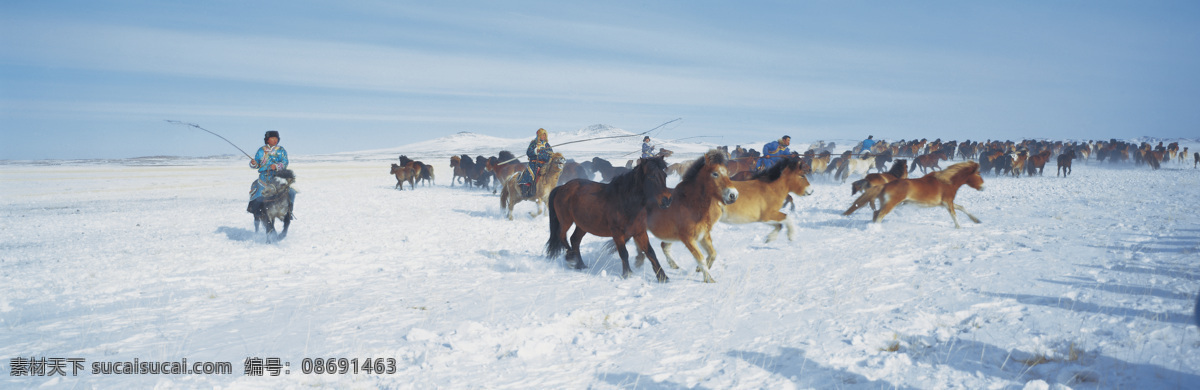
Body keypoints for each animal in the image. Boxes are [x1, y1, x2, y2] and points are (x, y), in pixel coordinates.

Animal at [547, 156, 676, 280]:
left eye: (664, 175)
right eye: (651, 176)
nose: (667, 200)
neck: (626, 202)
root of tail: (562, 187)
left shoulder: (639, 232)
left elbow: (650, 252)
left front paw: (662, 277)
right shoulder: (617, 233)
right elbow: (624, 253)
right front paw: (627, 275)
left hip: (582, 225)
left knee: (574, 240)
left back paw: (580, 265)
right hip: (565, 221)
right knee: (561, 236)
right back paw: (571, 258)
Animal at [643, 149, 734, 282]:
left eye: (727, 172)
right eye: (715, 174)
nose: (733, 195)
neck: (690, 203)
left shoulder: (703, 235)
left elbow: (713, 253)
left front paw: (701, 270)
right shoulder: (688, 238)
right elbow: (700, 258)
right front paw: (708, 279)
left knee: (663, 246)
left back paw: (673, 265)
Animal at [844, 159, 984, 228]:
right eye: (978, 174)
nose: (983, 187)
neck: (947, 181)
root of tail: (885, 185)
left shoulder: (946, 202)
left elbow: (962, 208)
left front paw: (977, 220)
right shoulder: (947, 202)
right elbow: (954, 215)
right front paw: (959, 227)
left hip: (887, 203)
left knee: (875, 213)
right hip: (891, 204)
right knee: (880, 215)